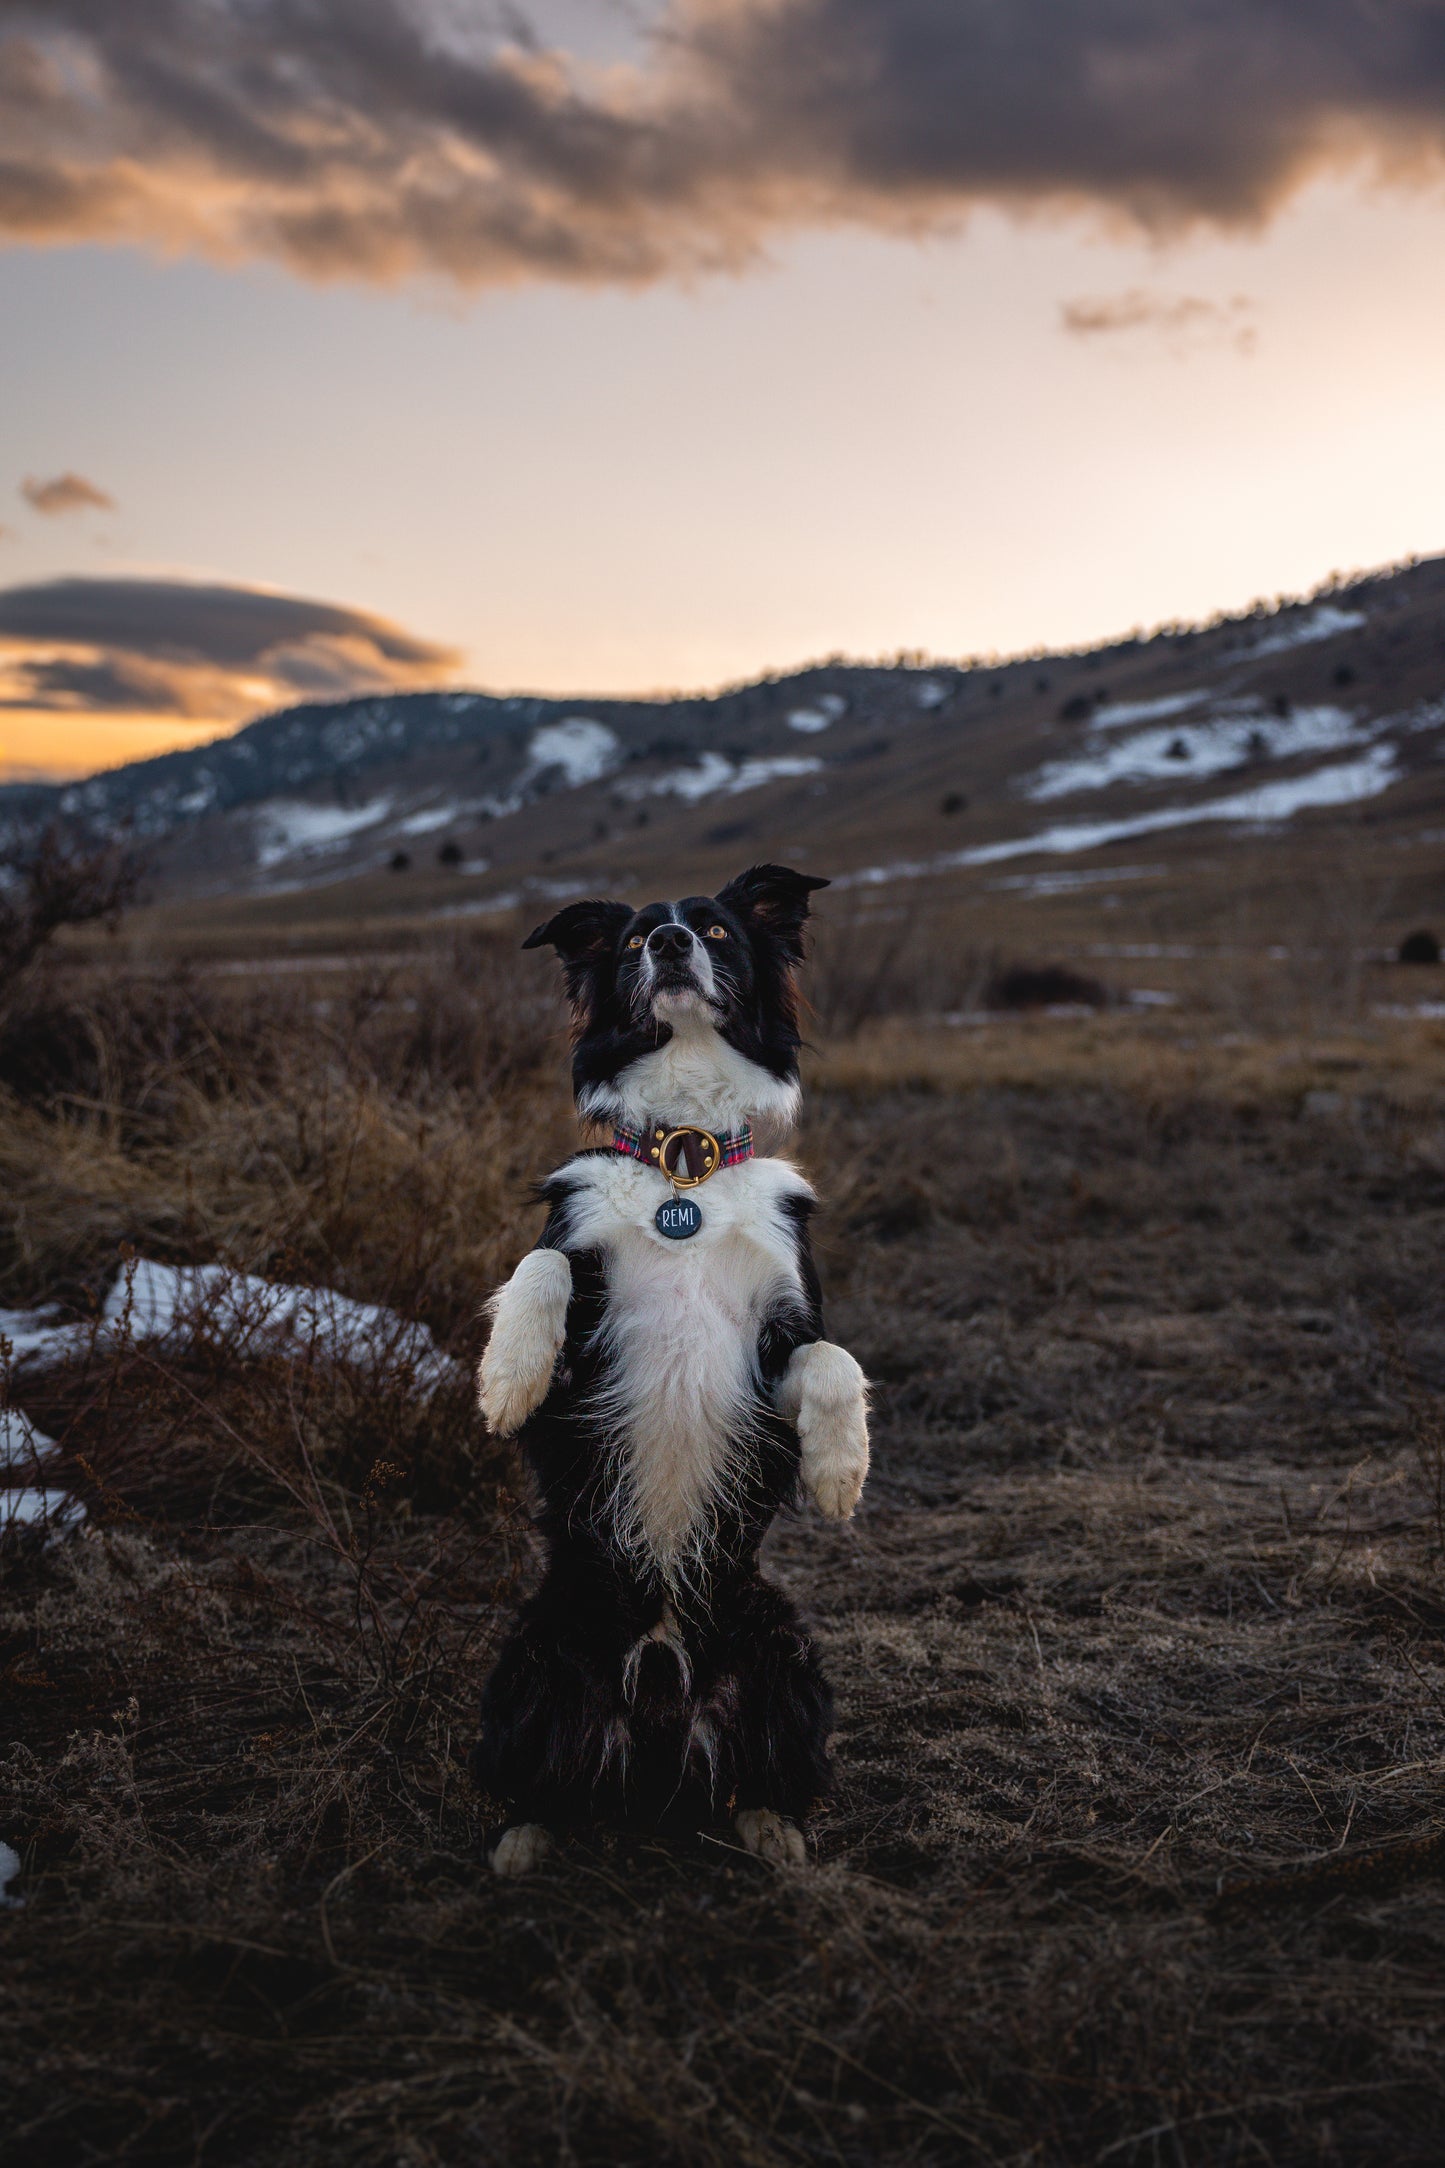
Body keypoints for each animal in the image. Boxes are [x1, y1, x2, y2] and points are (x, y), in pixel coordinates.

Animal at [474, 862, 870, 1881]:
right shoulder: (580, 1367)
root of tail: (656, 1697)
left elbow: (832, 1356)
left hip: (787, 1657)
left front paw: (838, 1469)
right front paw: (507, 1376)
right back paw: (522, 1840)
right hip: (527, 1660)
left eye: (720, 931)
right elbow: (541, 1265)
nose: (668, 943)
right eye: (628, 942)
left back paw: (774, 1831)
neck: (682, 1162)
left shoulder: (775, 1346)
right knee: (539, 1777)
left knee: (754, 1775)